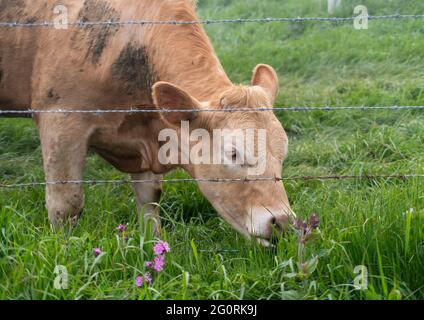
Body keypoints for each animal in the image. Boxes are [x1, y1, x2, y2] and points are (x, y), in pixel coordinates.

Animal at [0, 0, 294, 246]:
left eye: (283, 154)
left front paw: (154, 244)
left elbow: (150, 201)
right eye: (233, 153)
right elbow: (65, 204)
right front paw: (65, 249)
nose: (282, 222)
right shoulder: (61, 120)